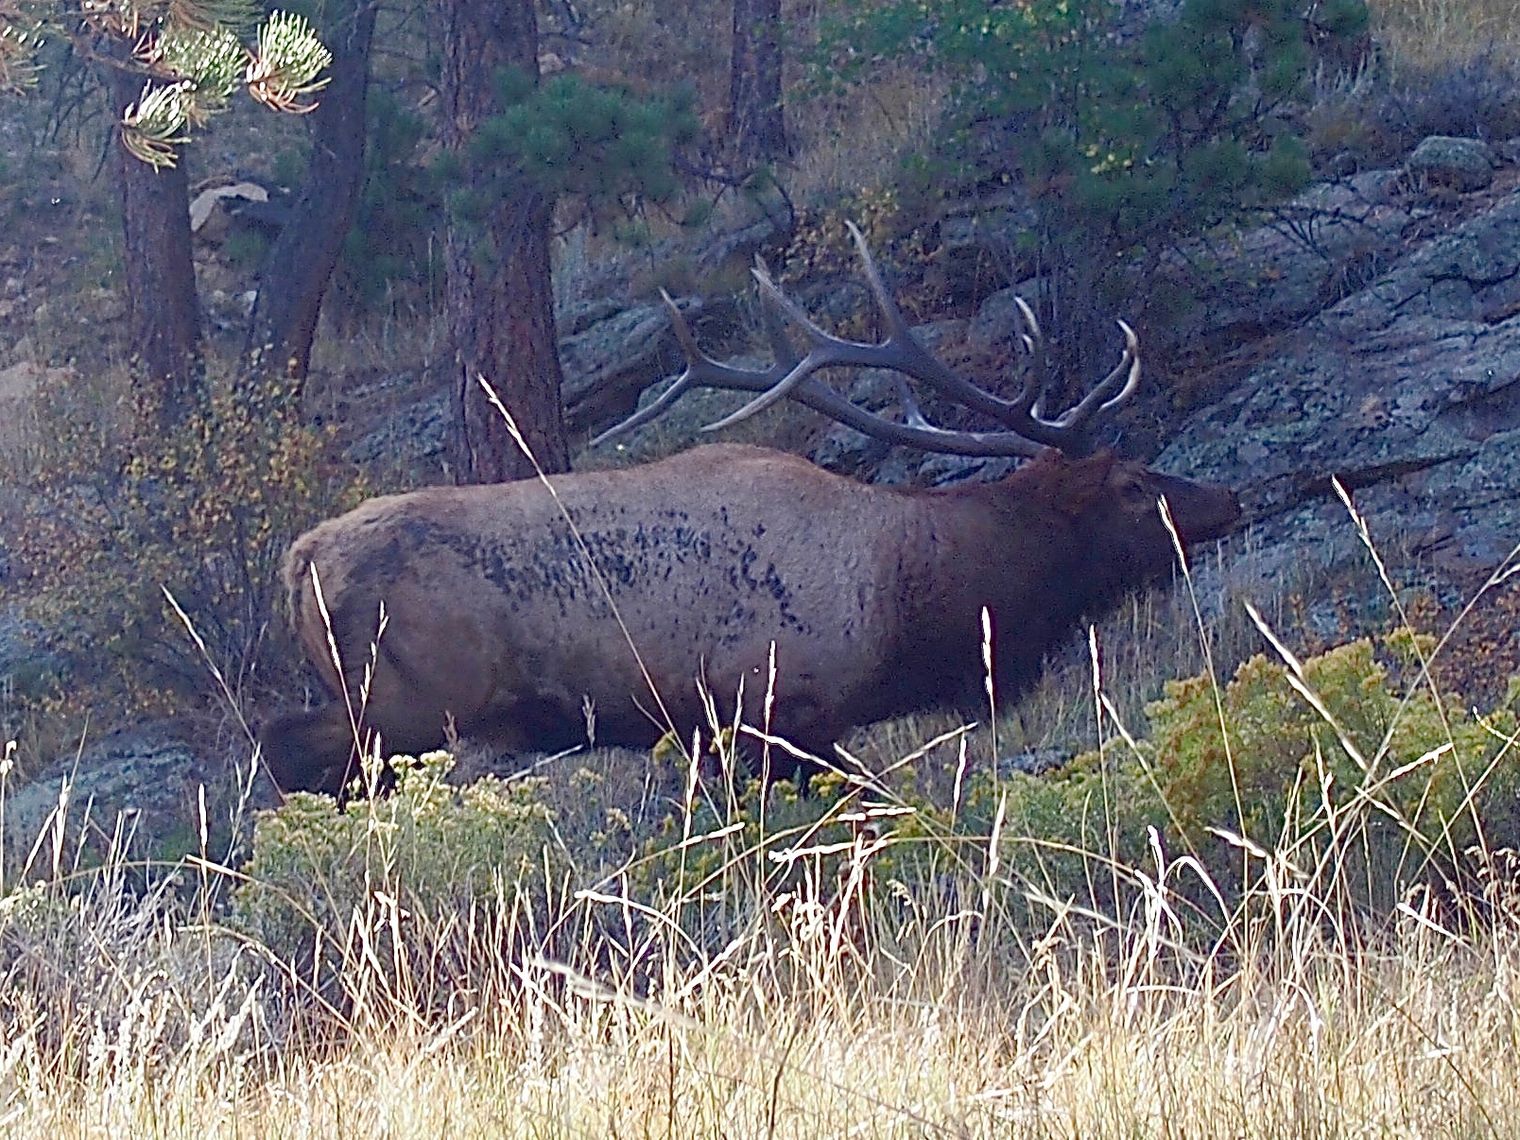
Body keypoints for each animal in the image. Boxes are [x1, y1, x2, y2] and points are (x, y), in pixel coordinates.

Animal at [261, 224, 1240, 795]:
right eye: (1134, 485)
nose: (1227, 499)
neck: (906, 601)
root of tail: (299, 557)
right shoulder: (774, 708)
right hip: (406, 702)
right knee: (287, 748)